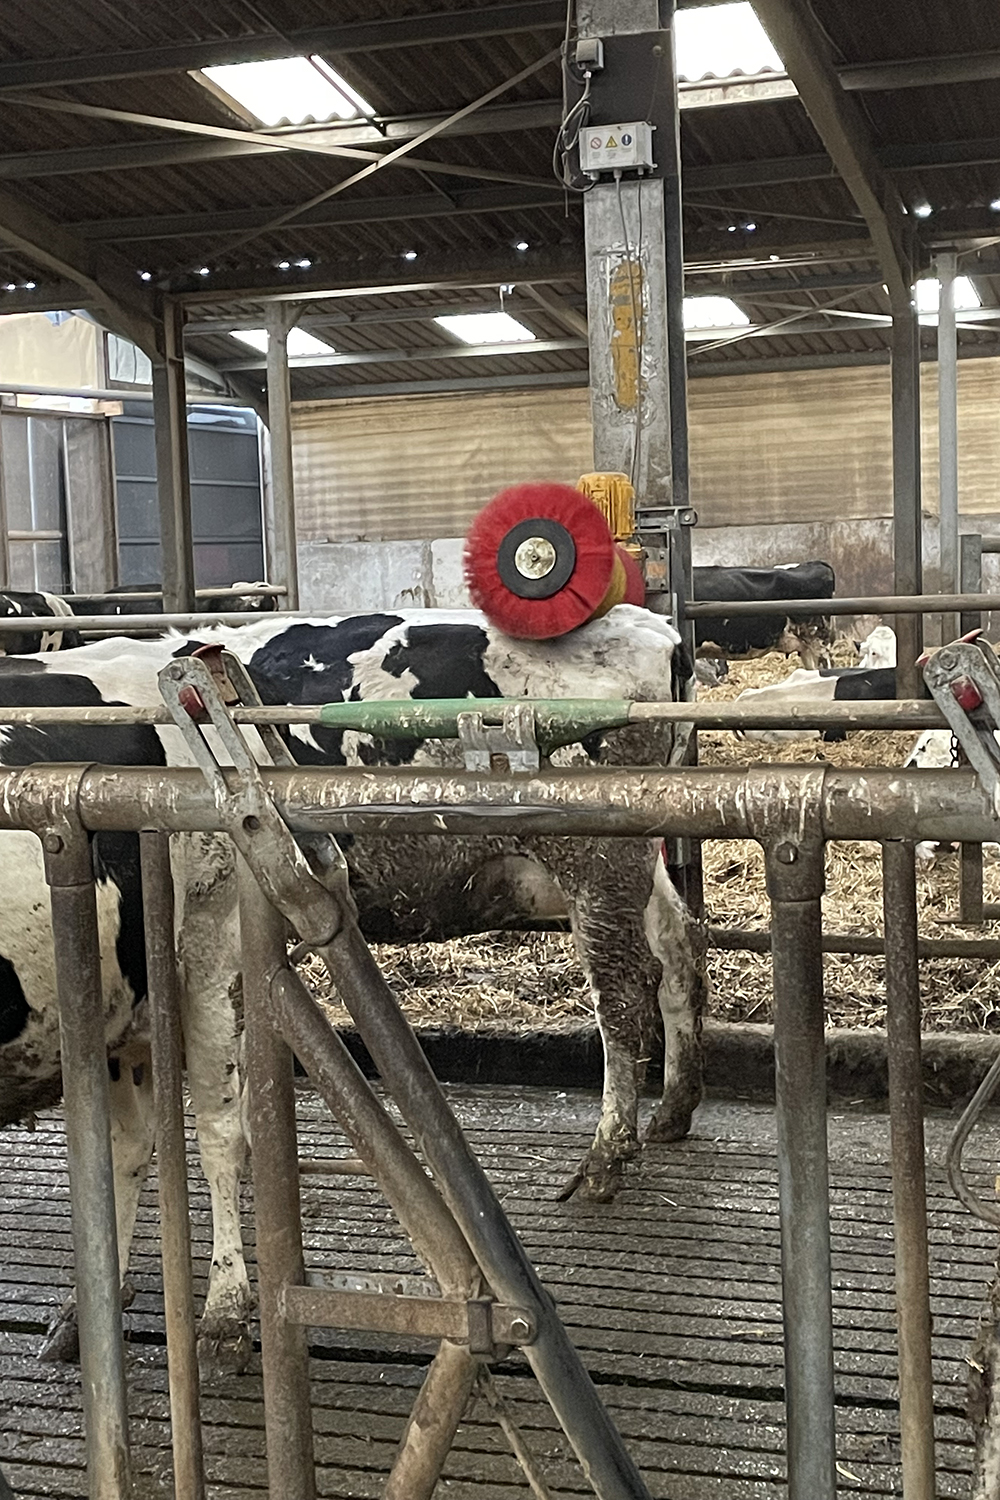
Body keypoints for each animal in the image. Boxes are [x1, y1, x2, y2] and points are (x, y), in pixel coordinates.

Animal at [0, 606, 704, 1374]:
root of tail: (651, 626)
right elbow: (132, 1146)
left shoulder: (210, 942)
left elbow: (216, 1129)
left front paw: (224, 1317)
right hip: (636, 861)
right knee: (680, 949)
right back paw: (673, 1109)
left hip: (596, 857)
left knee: (622, 993)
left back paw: (606, 1156)